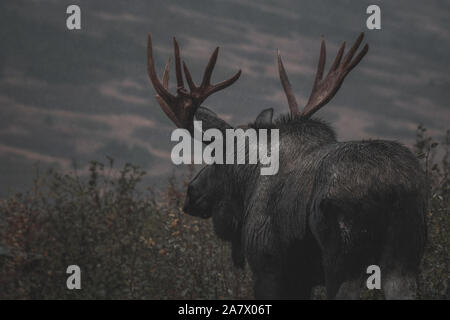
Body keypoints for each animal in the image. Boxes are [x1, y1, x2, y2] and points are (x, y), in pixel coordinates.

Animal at [146, 33, 428, 300]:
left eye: (215, 154)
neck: (249, 182)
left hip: (344, 260)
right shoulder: (302, 278)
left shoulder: (268, 268)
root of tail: (390, 188)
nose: (191, 192)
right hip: (404, 258)